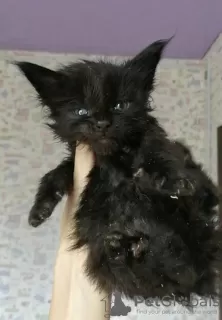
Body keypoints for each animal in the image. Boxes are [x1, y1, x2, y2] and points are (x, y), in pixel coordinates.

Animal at [15, 40, 220, 302]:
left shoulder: (160, 144)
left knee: (181, 267)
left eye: (119, 105)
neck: (112, 159)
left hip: (196, 224)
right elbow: (56, 172)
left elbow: (158, 151)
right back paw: (123, 248)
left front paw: (170, 180)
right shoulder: (78, 161)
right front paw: (39, 209)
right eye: (81, 111)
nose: (102, 124)